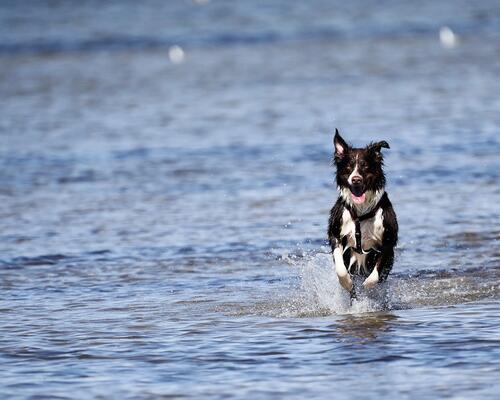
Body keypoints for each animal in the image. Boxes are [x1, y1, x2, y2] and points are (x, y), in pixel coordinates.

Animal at [328, 130, 398, 298]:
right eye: (348, 166)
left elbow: (375, 275)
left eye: (365, 166)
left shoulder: (388, 242)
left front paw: (368, 288)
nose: (356, 179)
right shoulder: (335, 232)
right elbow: (340, 268)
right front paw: (347, 284)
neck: (361, 214)